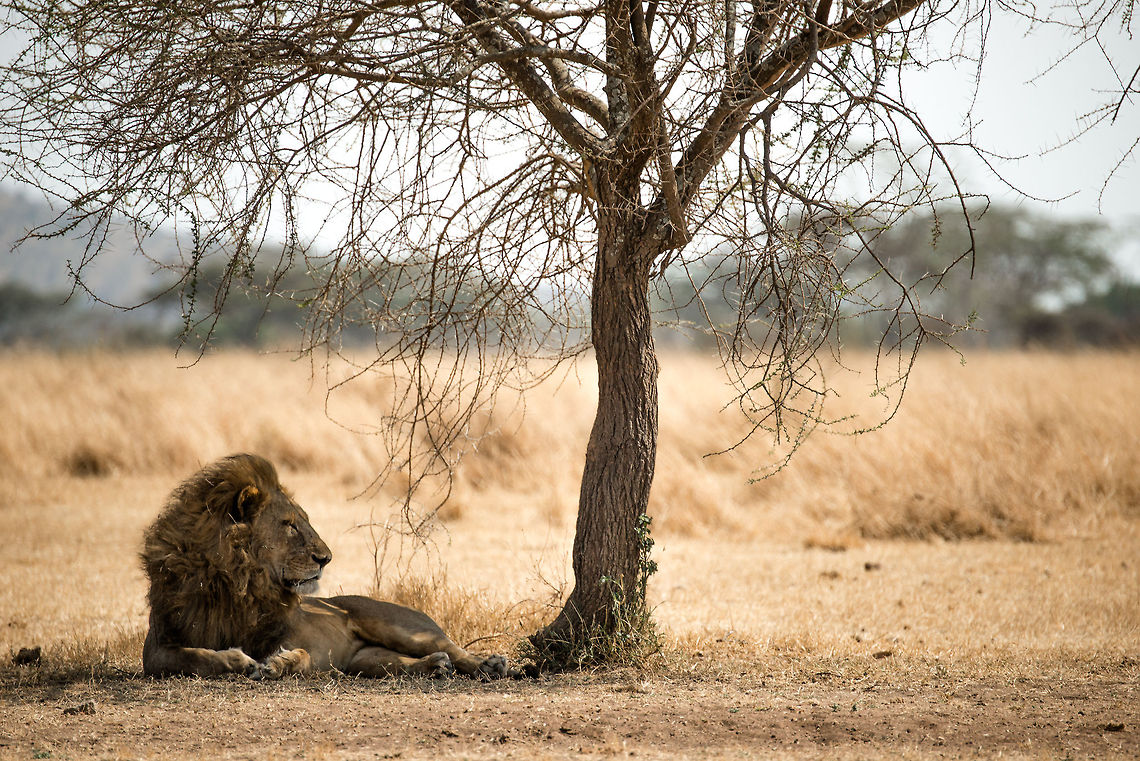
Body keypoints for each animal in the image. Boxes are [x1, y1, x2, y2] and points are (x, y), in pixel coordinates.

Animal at [140, 453, 512, 679]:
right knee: (408, 662)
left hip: (395, 624)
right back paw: (435, 667)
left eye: (303, 520)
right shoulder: (157, 647)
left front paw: (278, 663)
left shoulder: (298, 640)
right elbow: (194, 656)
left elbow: (302, 655)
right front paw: (236, 659)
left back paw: (489, 664)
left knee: (449, 646)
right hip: (370, 661)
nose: (326, 558)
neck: (237, 580)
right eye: (289, 525)